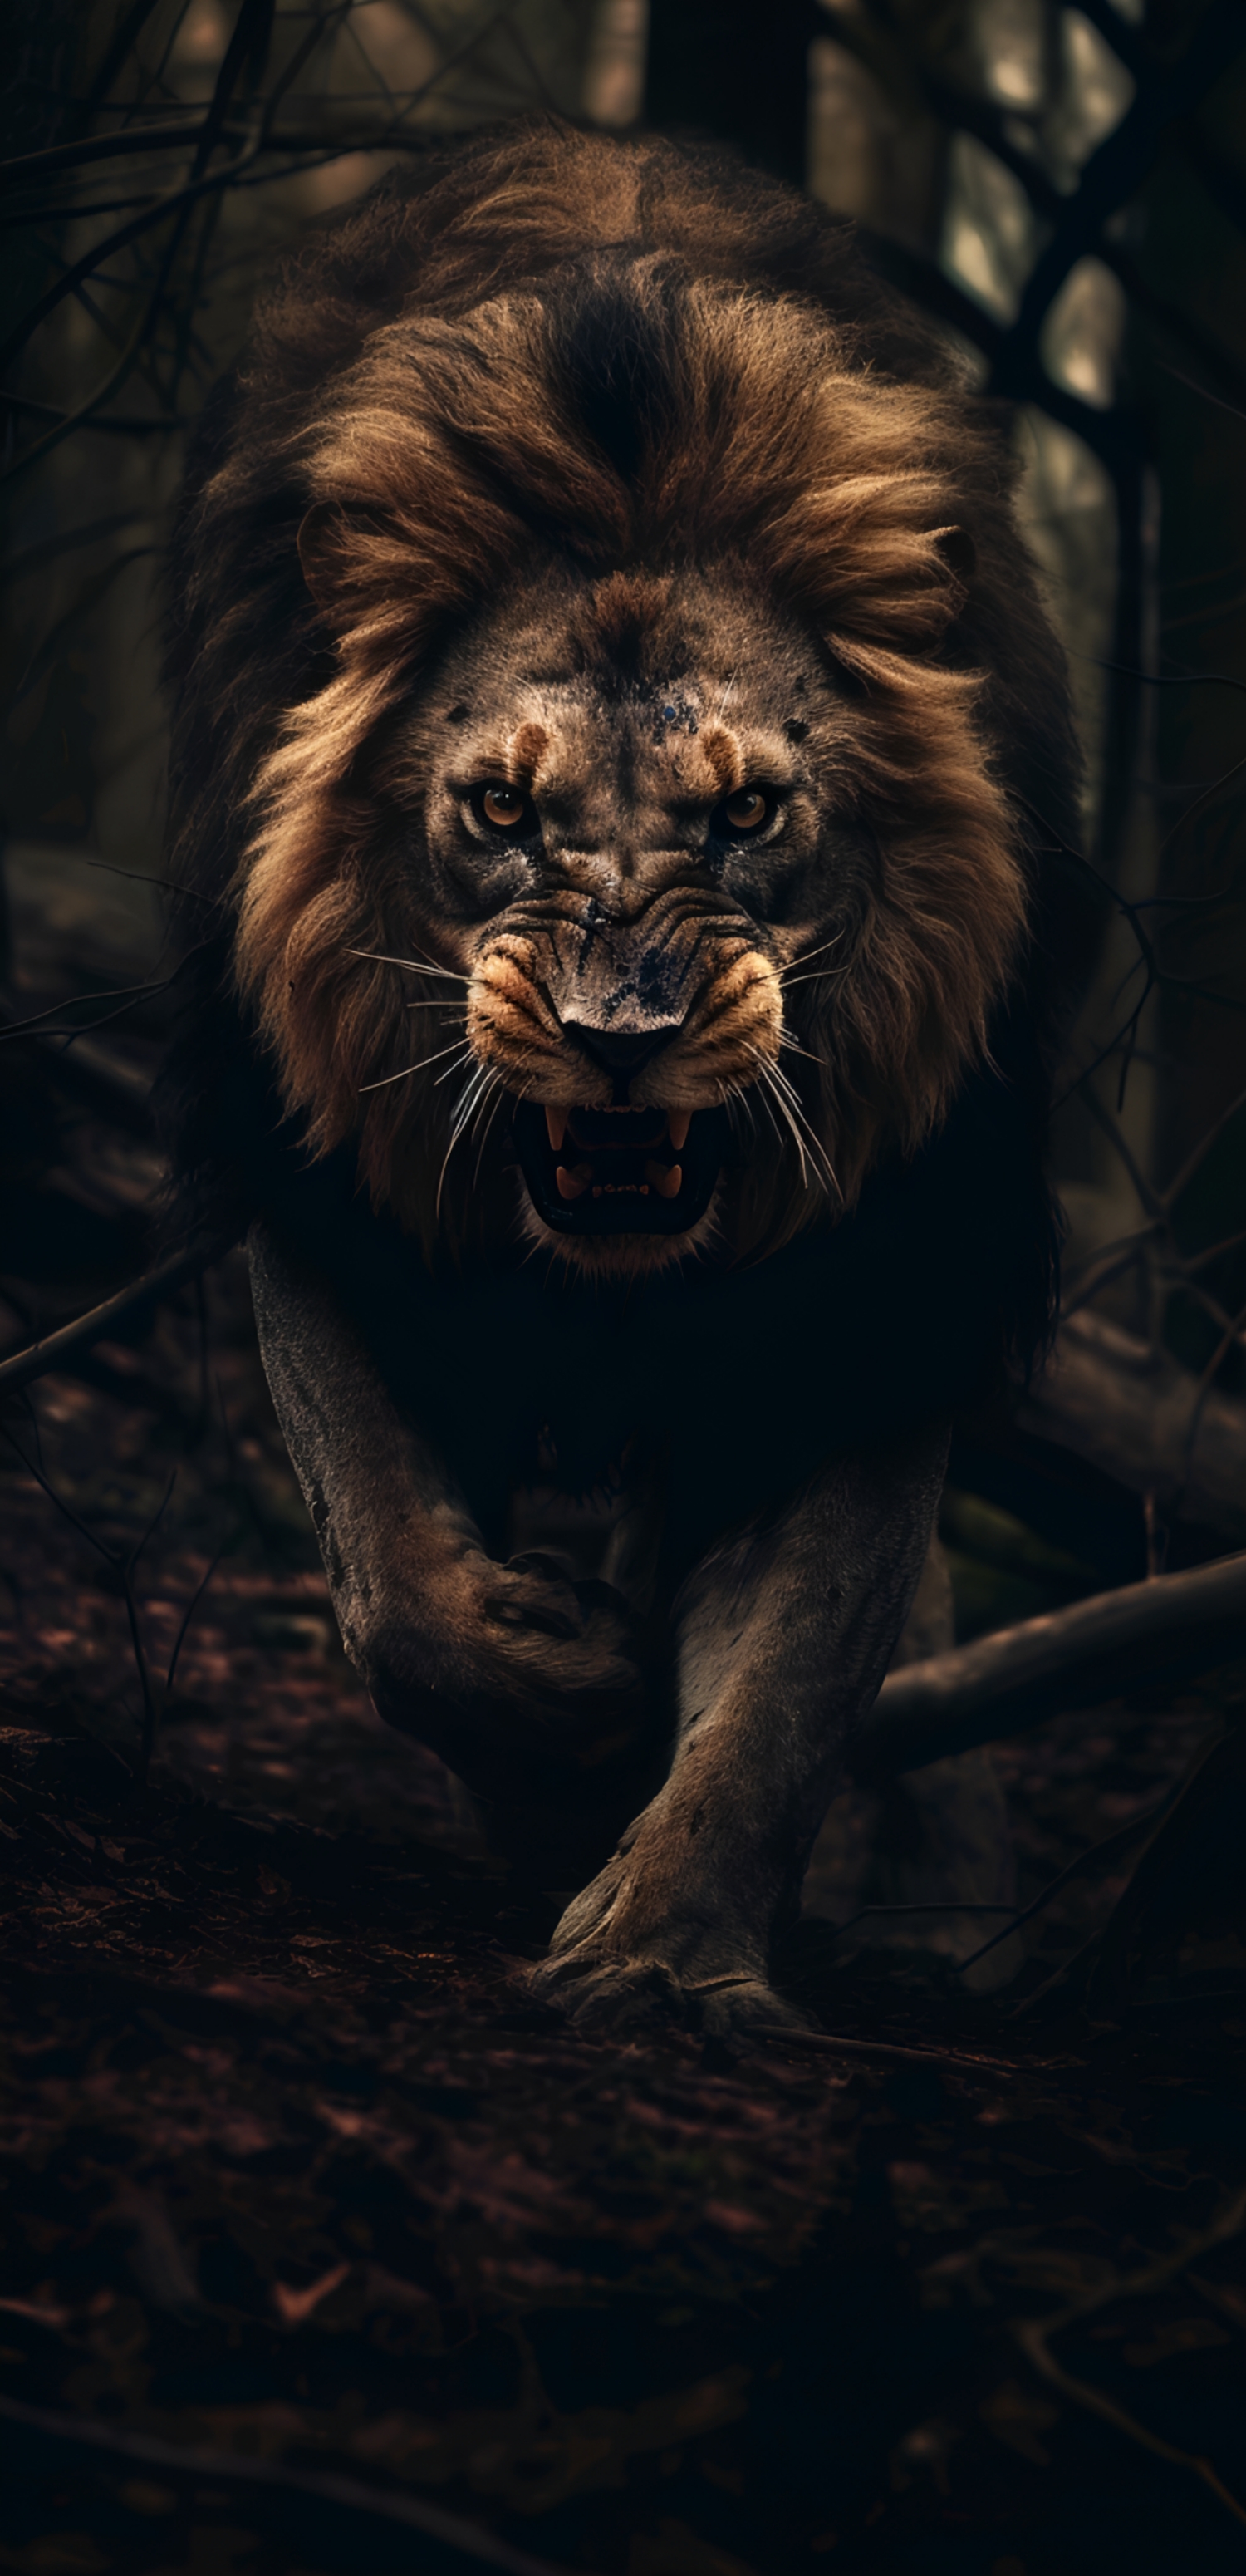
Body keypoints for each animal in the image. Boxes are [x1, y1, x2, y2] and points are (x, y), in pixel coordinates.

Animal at [162, 118, 1084, 2038]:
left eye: (748, 814)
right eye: (504, 809)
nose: (618, 1038)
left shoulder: (875, 1278)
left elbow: (789, 1681)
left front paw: (662, 1953)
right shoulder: (331, 1186)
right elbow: (399, 1589)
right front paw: (566, 1723)